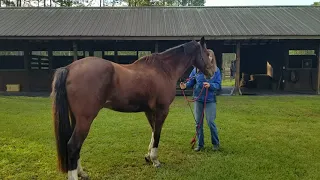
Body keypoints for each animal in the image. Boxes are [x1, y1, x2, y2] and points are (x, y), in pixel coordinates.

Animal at [50, 35, 215, 179]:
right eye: (208, 54)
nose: (212, 73)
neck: (164, 69)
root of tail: (69, 68)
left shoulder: (149, 111)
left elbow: (153, 132)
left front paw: (148, 157)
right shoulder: (162, 110)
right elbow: (157, 134)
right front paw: (155, 160)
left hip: (76, 118)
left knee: (75, 146)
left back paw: (82, 172)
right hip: (85, 119)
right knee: (73, 145)